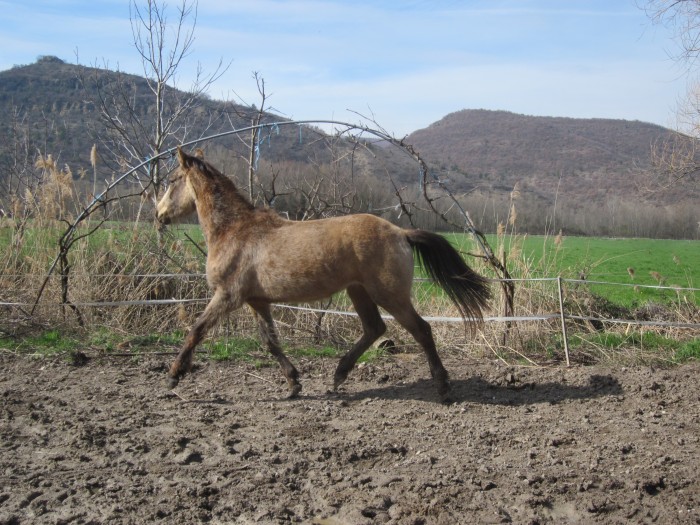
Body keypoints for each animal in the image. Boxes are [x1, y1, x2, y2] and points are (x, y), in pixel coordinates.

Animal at [156, 147, 490, 402]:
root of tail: (400, 232)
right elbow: (270, 342)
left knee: (421, 330)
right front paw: (293, 384)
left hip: (389, 294)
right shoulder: (256, 301)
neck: (235, 231)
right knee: (375, 328)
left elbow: (196, 330)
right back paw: (339, 375)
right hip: (359, 291)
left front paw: (173, 376)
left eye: (171, 180)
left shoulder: (227, 296)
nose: (158, 215)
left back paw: (443, 387)